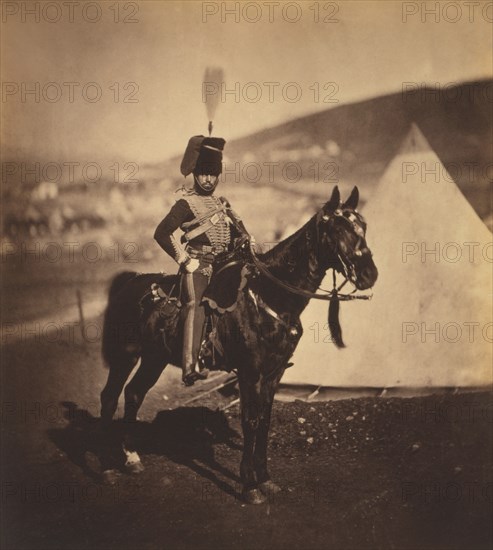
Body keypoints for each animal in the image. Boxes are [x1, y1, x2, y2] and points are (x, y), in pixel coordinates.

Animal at [99, 188, 376, 506]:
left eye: (363, 226)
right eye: (338, 229)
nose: (370, 274)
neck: (272, 296)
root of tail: (129, 284)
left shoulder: (273, 374)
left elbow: (265, 421)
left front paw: (265, 479)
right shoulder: (250, 373)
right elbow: (250, 421)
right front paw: (249, 485)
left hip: (154, 359)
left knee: (134, 393)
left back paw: (132, 458)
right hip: (125, 355)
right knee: (109, 398)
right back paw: (106, 468)